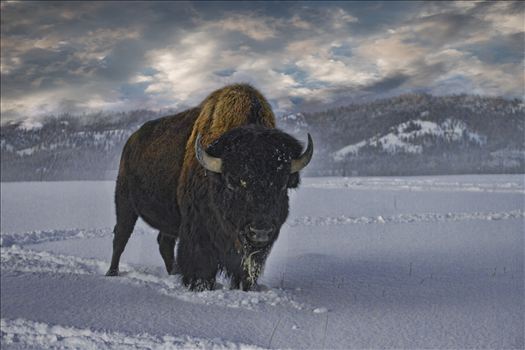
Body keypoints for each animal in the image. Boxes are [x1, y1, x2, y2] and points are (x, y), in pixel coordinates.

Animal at [105, 83, 312, 292]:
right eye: (232, 182)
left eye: (282, 184)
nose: (260, 232)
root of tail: (130, 142)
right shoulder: (198, 232)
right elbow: (201, 267)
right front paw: (199, 286)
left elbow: (246, 270)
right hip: (125, 203)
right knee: (121, 237)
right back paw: (111, 273)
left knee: (164, 243)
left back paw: (173, 273)